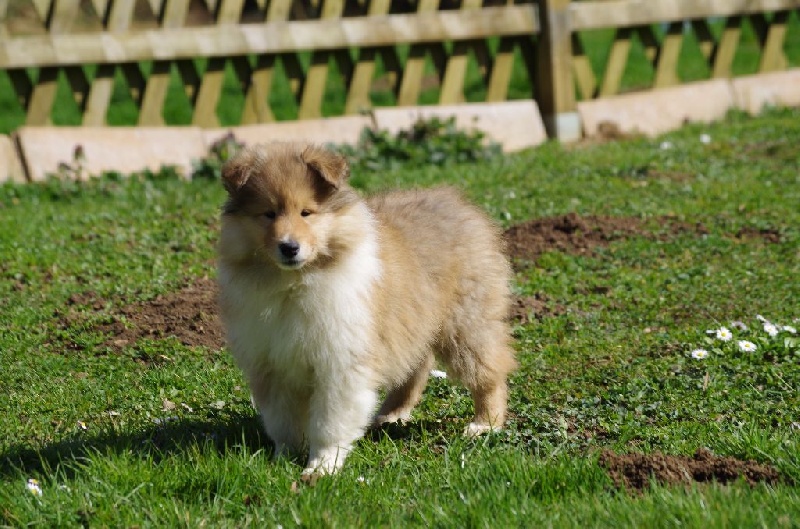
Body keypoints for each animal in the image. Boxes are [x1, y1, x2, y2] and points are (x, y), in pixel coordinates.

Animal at [216, 142, 516, 476]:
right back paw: (390, 416)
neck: (296, 282)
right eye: (268, 214)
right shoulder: (273, 364)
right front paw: (282, 458)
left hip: (466, 323)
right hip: (412, 322)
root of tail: (457, 201)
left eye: (306, 212)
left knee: (490, 372)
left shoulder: (340, 362)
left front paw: (322, 466)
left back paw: (484, 424)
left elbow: (329, 423)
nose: (289, 247)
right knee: (415, 369)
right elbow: (284, 421)